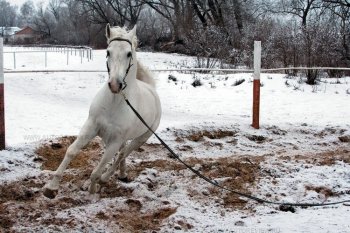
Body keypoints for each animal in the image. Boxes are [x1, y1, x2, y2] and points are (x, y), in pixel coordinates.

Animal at [43, 24, 162, 198]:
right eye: (108, 52)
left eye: (129, 53)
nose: (115, 85)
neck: (114, 102)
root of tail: (152, 89)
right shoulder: (91, 126)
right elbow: (71, 151)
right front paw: (51, 188)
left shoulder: (114, 142)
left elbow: (97, 171)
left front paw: (93, 190)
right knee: (121, 156)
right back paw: (121, 175)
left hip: (140, 138)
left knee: (122, 154)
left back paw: (105, 179)